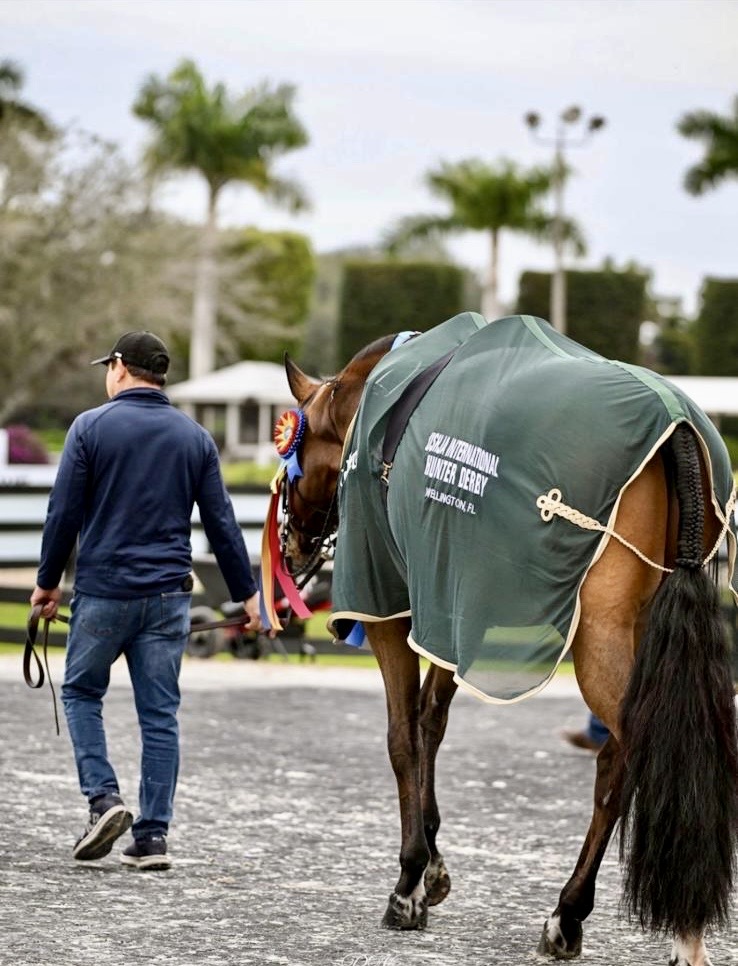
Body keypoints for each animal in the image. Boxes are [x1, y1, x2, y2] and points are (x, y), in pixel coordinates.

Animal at [273, 314, 738, 966]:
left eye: (292, 463)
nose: (290, 545)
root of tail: (674, 426)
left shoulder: (389, 604)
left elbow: (401, 737)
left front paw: (409, 881)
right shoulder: (447, 605)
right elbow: (431, 722)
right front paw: (433, 864)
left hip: (599, 636)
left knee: (633, 750)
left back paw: (614, 920)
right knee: (626, 762)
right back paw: (581, 914)